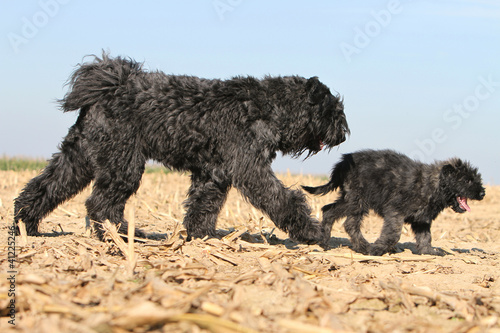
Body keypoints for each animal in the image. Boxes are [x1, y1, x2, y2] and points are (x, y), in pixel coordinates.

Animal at [302, 149, 486, 255]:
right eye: (467, 180)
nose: (483, 193)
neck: (434, 184)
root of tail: (342, 163)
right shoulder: (395, 211)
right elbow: (393, 234)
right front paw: (378, 248)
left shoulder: (421, 220)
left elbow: (426, 237)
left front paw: (429, 251)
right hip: (357, 200)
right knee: (349, 223)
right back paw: (364, 248)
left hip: (350, 198)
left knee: (329, 211)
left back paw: (326, 243)